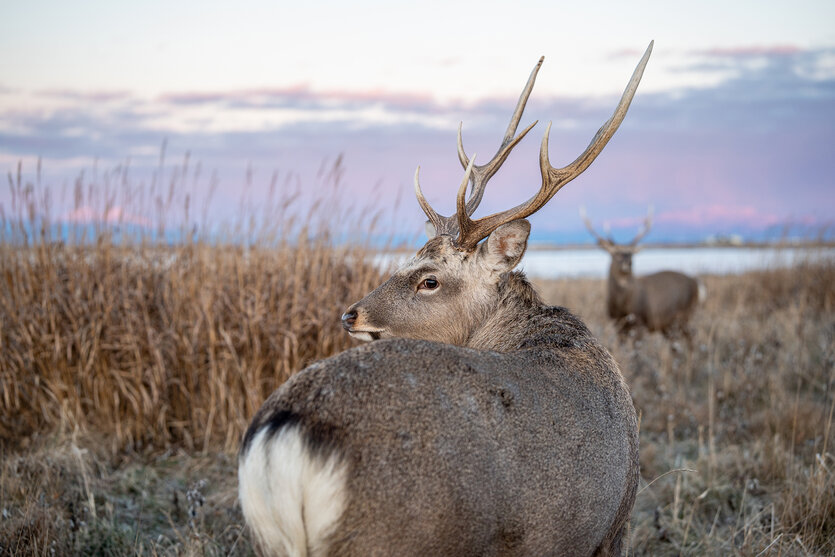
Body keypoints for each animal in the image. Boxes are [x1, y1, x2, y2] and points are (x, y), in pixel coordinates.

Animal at [580, 206, 704, 340]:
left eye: (631, 254)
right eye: (615, 254)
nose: (627, 262)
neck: (622, 306)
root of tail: (696, 283)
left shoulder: (640, 322)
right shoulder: (618, 325)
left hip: (685, 313)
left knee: (691, 334)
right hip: (668, 324)